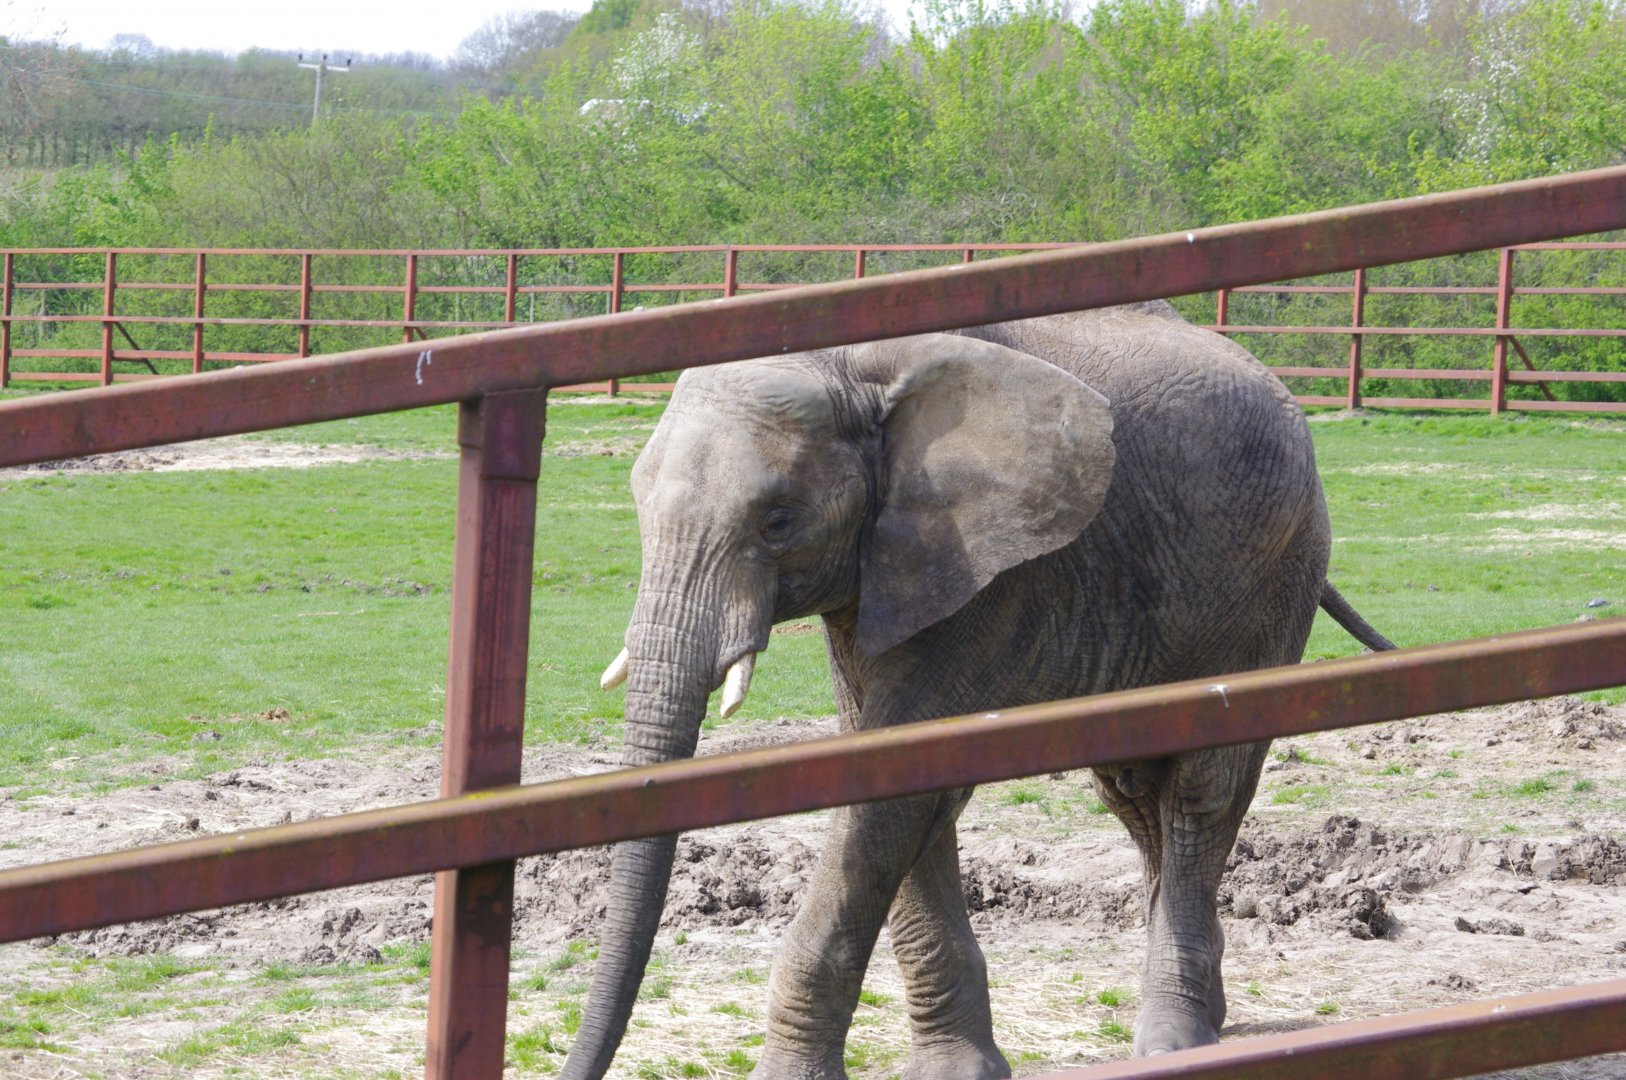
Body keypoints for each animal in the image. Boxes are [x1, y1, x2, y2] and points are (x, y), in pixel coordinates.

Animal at [560, 302, 1394, 1079]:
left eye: (777, 521)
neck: (853, 366)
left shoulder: (991, 568)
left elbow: (893, 791)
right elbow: (904, 786)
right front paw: (957, 1071)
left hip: (1275, 573)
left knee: (1199, 787)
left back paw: (1175, 1039)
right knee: (1134, 791)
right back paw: (1208, 1010)